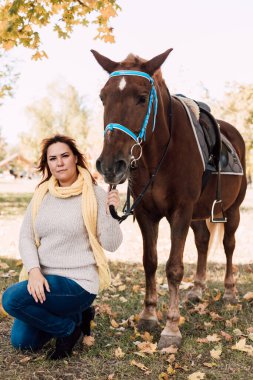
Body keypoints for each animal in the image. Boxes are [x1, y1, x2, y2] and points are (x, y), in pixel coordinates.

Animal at [91, 49, 247, 348]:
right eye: (102, 97)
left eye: (142, 97)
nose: (110, 165)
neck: (159, 154)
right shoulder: (146, 214)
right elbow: (149, 262)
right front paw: (149, 315)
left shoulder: (180, 212)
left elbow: (174, 268)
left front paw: (171, 329)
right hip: (199, 213)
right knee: (203, 241)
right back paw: (197, 290)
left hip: (231, 209)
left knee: (229, 245)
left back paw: (230, 292)